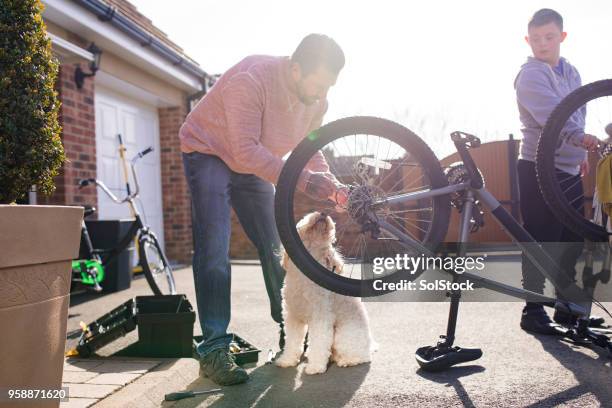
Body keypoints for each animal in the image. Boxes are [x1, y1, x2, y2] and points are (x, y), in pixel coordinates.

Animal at [276, 212, 372, 374]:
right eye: (304, 217)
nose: (323, 213)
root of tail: (371, 346)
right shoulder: (293, 317)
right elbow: (292, 341)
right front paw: (287, 360)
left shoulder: (321, 317)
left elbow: (319, 342)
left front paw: (315, 367)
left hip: (342, 336)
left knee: (360, 357)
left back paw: (346, 360)